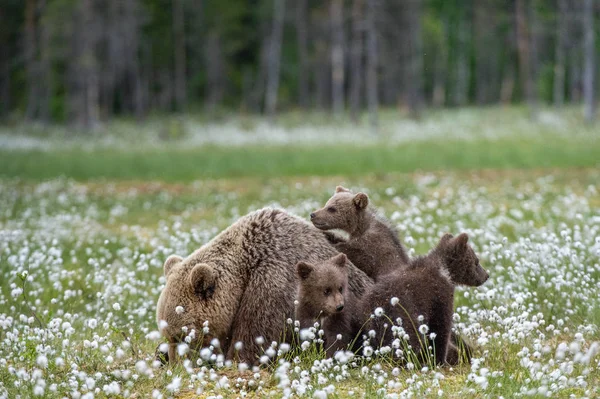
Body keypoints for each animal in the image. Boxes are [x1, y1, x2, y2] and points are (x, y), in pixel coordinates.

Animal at [155, 209, 372, 366]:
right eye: (168, 336)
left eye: (183, 336)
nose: (176, 367)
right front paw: (161, 354)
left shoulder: (273, 284)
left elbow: (255, 340)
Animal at [360, 233, 488, 368]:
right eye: (476, 261)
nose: (486, 275)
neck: (445, 271)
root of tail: (379, 306)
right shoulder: (439, 296)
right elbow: (440, 327)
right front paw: (440, 360)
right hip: (403, 315)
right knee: (410, 340)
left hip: (373, 321)